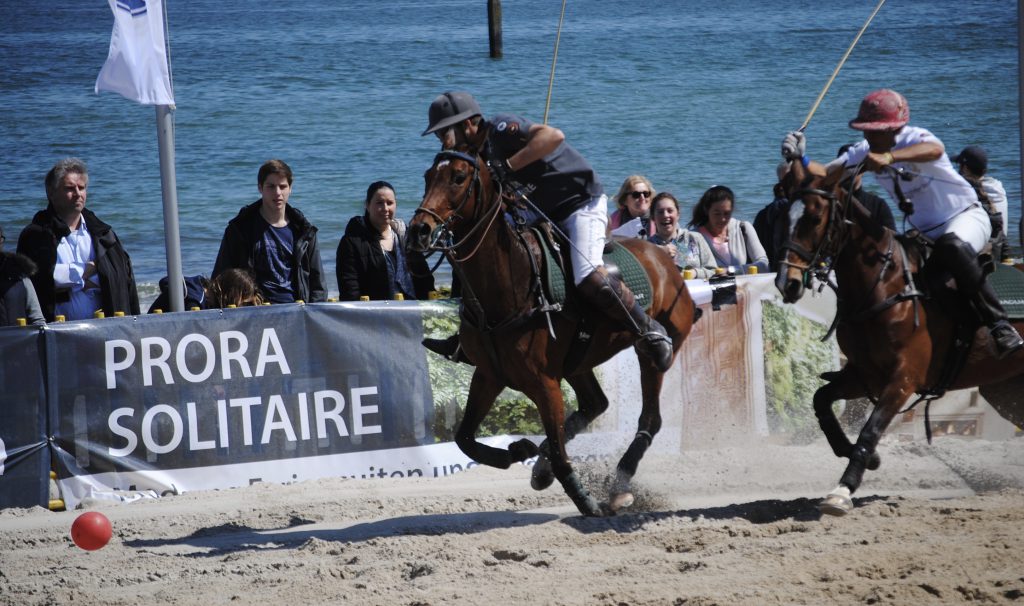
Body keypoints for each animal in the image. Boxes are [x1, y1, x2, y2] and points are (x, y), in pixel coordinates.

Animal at [405, 144, 696, 517]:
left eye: (458, 177)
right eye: (429, 176)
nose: (418, 231)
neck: (508, 288)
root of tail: (665, 259)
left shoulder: (544, 383)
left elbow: (560, 453)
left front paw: (587, 501)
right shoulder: (489, 374)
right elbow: (464, 439)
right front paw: (520, 451)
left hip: (651, 353)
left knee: (650, 418)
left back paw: (619, 485)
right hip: (579, 360)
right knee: (596, 404)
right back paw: (544, 465)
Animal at [778, 161, 1019, 515]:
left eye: (814, 217)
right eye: (786, 216)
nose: (787, 282)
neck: (886, 287)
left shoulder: (903, 379)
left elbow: (870, 429)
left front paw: (843, 489)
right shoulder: (864, 375)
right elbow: (821, 401)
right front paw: (864, 457)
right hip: (1005, 388)